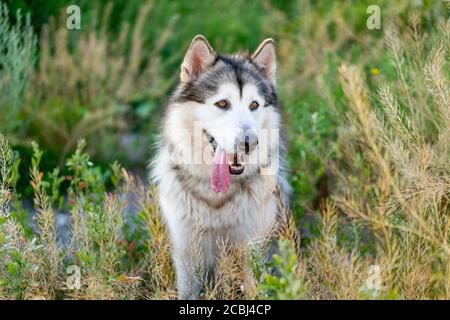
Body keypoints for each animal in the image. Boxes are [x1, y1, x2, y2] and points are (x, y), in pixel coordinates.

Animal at [153, 33, 290, 298]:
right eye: (223, 104)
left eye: (254, 105)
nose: (249, 143)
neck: (216, 199)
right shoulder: (186, 251)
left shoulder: (252, 248)